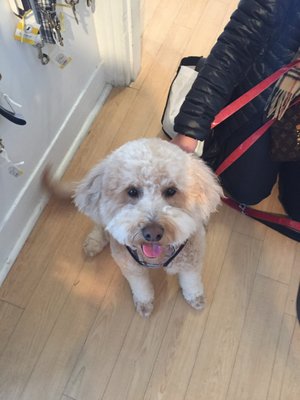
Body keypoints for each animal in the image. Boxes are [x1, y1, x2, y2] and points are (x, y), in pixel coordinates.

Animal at [44, 139, 223, 318]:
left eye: (171, 190)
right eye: (132, 191)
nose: (153, 233)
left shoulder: (191, 260)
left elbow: (191, 281)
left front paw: (195, 297)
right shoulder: (131, 268)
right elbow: (141, 287)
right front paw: (144, 303)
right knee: (101, 225)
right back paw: (94, 242)